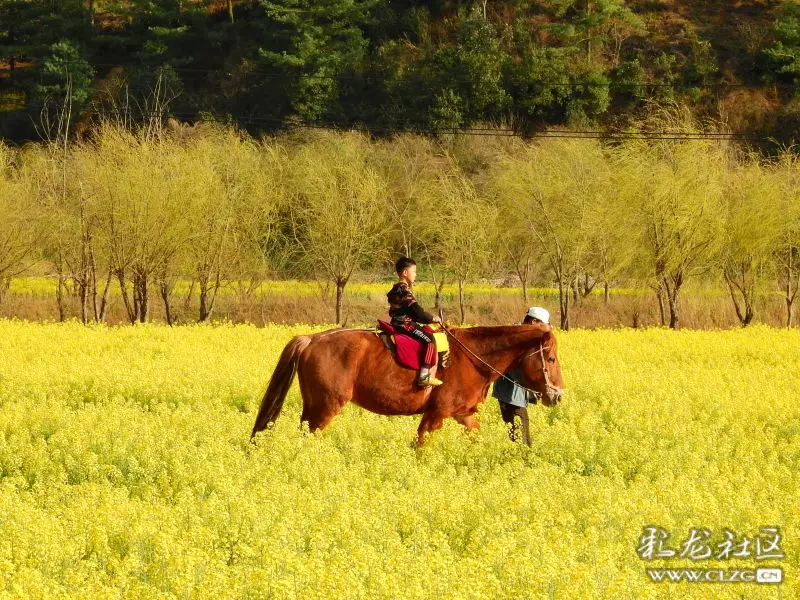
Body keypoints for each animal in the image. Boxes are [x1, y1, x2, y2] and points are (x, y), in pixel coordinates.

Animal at [248, 324, 564, 446]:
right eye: (550, 358)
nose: (558, 396)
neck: (473, 355)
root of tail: (311, 339)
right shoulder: (435, 415)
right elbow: (420, 446)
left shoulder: (463, 414)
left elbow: (474, 436)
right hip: (325, 407)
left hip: (313, 407)